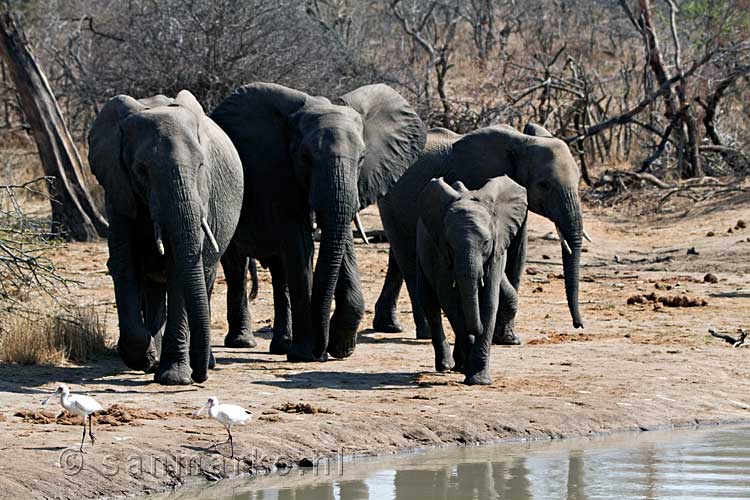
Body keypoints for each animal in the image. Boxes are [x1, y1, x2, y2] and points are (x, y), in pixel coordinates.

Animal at [89, 91, 244, 386]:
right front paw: (144, 359)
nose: (199, 377)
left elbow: (179, 273)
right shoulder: (118, 192)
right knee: (153, 290)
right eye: (142, 170)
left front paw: (173, 378)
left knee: (204, 279)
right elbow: (123, 265)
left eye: (201, 165)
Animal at [210, 84, 428, 362]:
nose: (322, 352)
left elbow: (340, 241)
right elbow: (300, 245)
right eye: (305, 158)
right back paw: (244, 343)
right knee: (236, 265)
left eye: (362, 158)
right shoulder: (279, 174)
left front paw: (341, 348)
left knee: (280, 271)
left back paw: (282, 346)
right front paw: (306, 354)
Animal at [374, 123, 592, 346]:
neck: (522, 142)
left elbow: (517, 256)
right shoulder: (475, 179)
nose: (578, 325)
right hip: (390, 201)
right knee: (407, 258)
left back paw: (390, 326)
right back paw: (423, 333)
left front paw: (508, 338)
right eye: (544, 185)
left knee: (397, 258)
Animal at [418, 178, 528, 384]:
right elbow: (450, 301)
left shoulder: (497, 248)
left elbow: (489, 302)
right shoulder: (440, 254)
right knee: (430, 303)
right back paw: (447, 365)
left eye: (486, 243)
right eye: (449, 245)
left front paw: (479, 380)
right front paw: (469, 370)